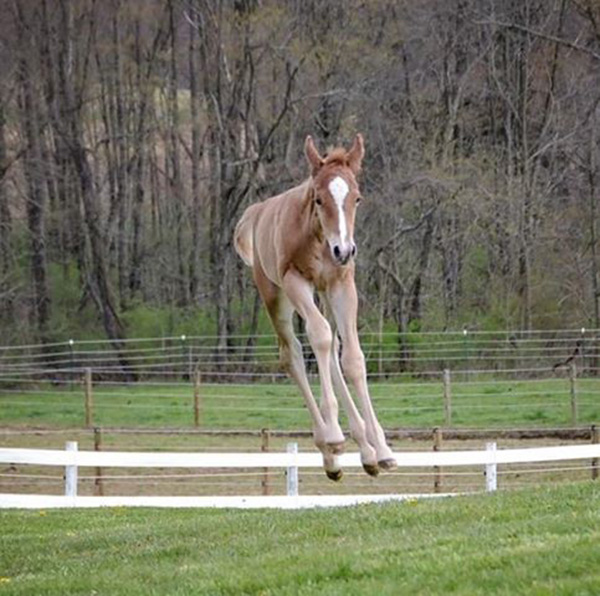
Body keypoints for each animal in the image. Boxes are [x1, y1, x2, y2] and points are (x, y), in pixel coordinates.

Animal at [236, 135, 398, 480]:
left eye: (357, 198)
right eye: (319, 199)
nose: (344, 250)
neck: (319, 238)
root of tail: (256, 213)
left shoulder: (342, 284)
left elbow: (352, 358)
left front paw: (382, 450)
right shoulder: (295, 281)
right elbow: (319, 337)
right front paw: (334, 436)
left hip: (323, 293)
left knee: (334, 352)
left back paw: (364, 451)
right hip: (275, 296)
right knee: (293, 354)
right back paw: (328, 447)